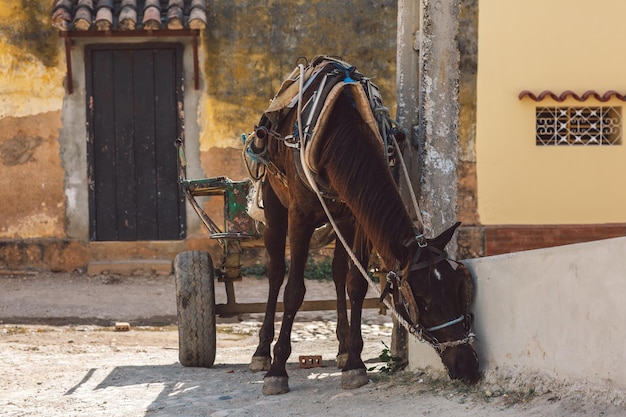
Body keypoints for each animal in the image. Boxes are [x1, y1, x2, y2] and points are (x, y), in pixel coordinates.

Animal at [245, 58, 478, 394]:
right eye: (422, 301)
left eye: (457, 288)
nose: (468, 366)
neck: (338, 130)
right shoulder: (300, 215)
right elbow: (294, 291)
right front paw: (277, 370)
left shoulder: (357, 218)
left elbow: (355, 283)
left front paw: (354, 363)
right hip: (275, 206)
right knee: (276, 273)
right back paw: (262, 353)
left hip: (339, 221)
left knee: (337, 272)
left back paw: (342, 349)